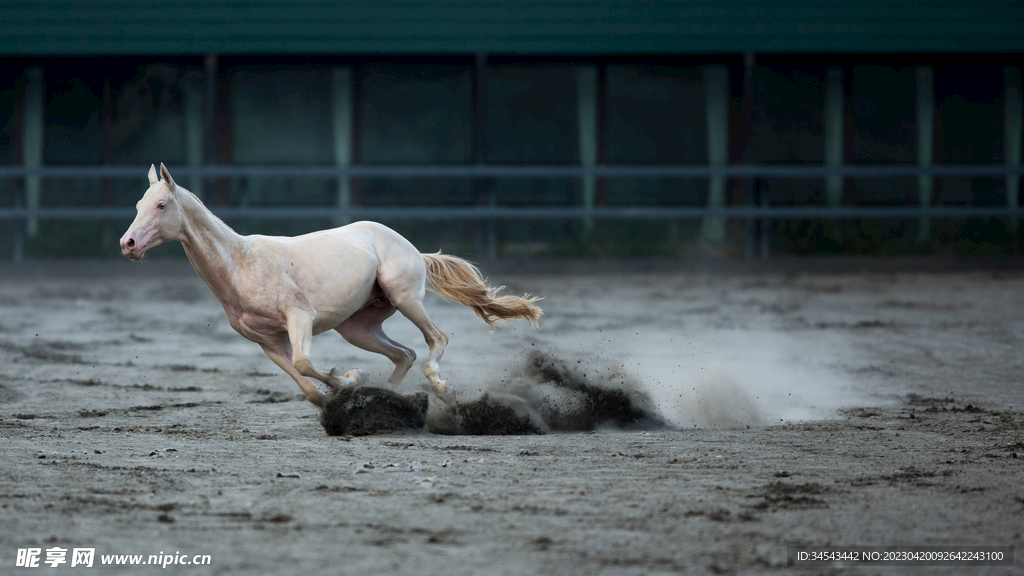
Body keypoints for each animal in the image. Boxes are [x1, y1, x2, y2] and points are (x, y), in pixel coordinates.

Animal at [120, 163, 544, 405]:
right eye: (138, 205)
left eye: (161, 205)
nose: (129, 243)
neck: (242, 264)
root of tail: (412, 248)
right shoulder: (266, 341)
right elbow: (307, 386)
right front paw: (344, 389)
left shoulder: (300, 318)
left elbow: (306, 363)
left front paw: (351, 379)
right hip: (357, 327)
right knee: (404, 355)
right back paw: (389, 396)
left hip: (405, 298)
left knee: (435, 339)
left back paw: (441, 388)